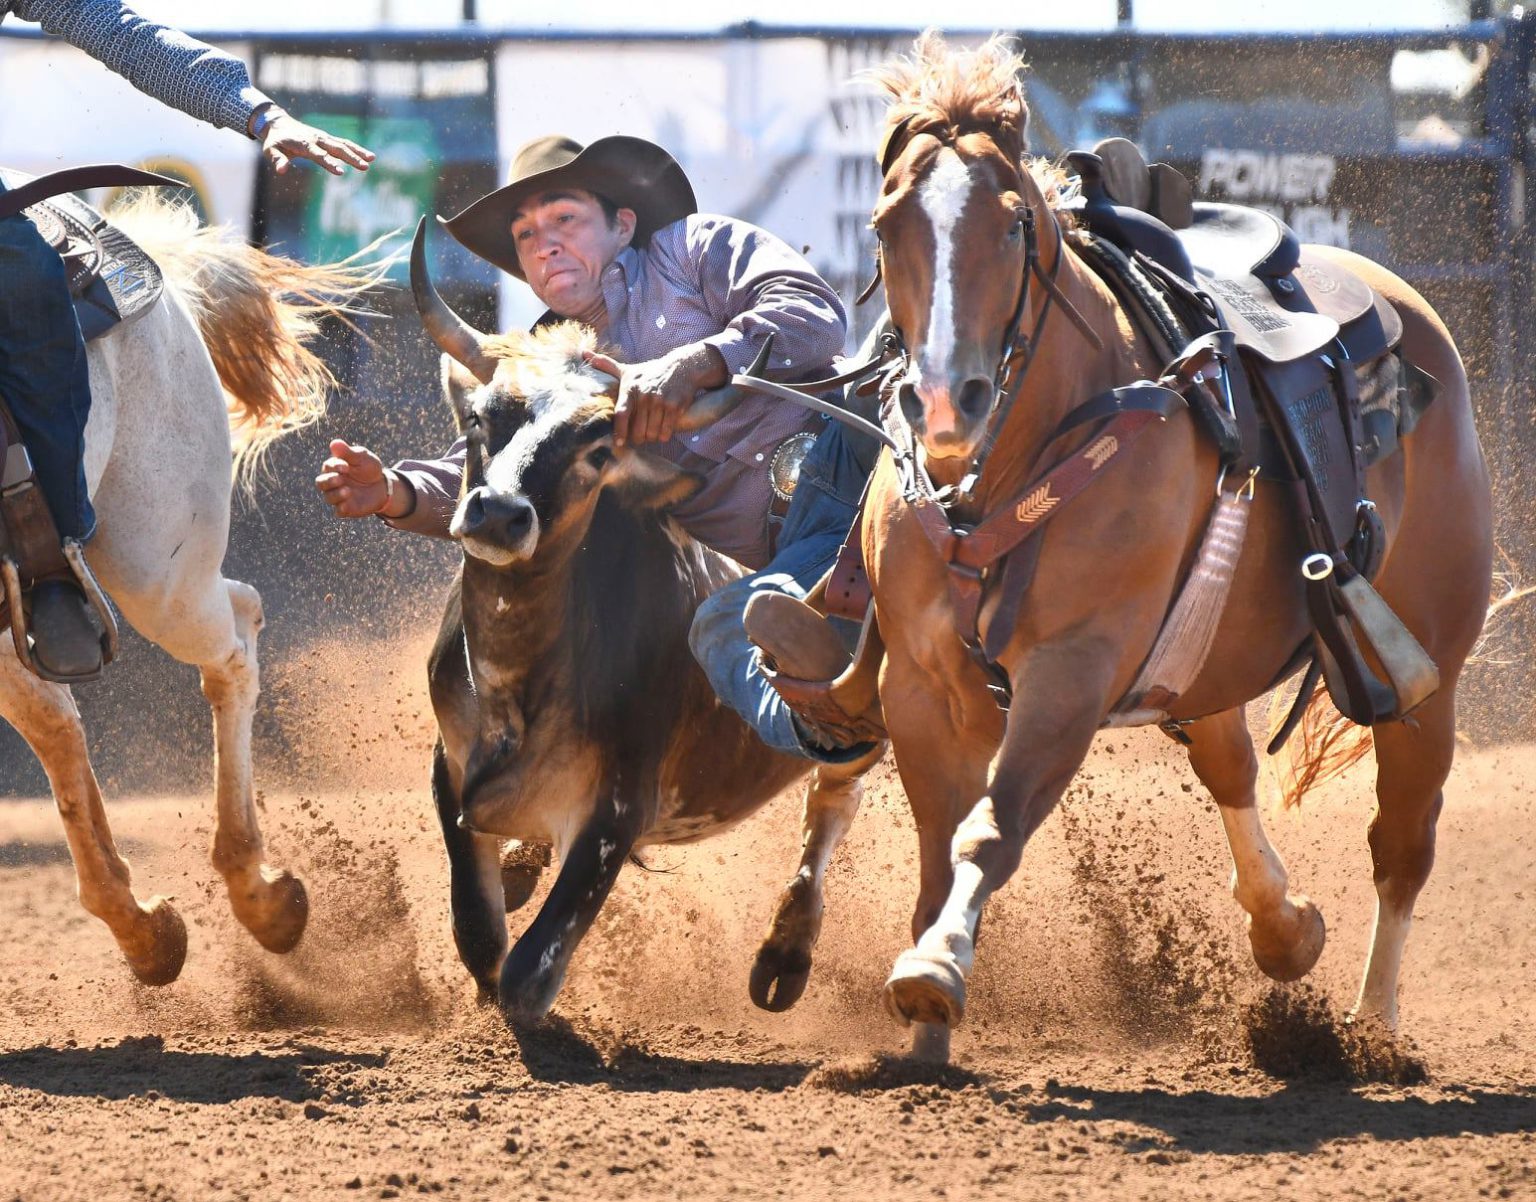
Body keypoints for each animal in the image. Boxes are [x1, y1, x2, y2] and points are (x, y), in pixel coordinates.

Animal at [860, 35, 1492, 1062]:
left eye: (1012, 225)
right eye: (885, 226)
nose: (948, 401)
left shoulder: (1072, 671)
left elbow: (991, 829)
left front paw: (936, 969)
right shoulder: (919, 684)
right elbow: (934, 855)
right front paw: (922, 1043)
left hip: (1426, 673)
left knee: (1402, 843)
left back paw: (1371, 1030)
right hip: (1203, 653)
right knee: (1232, 764)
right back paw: (1285, 929)